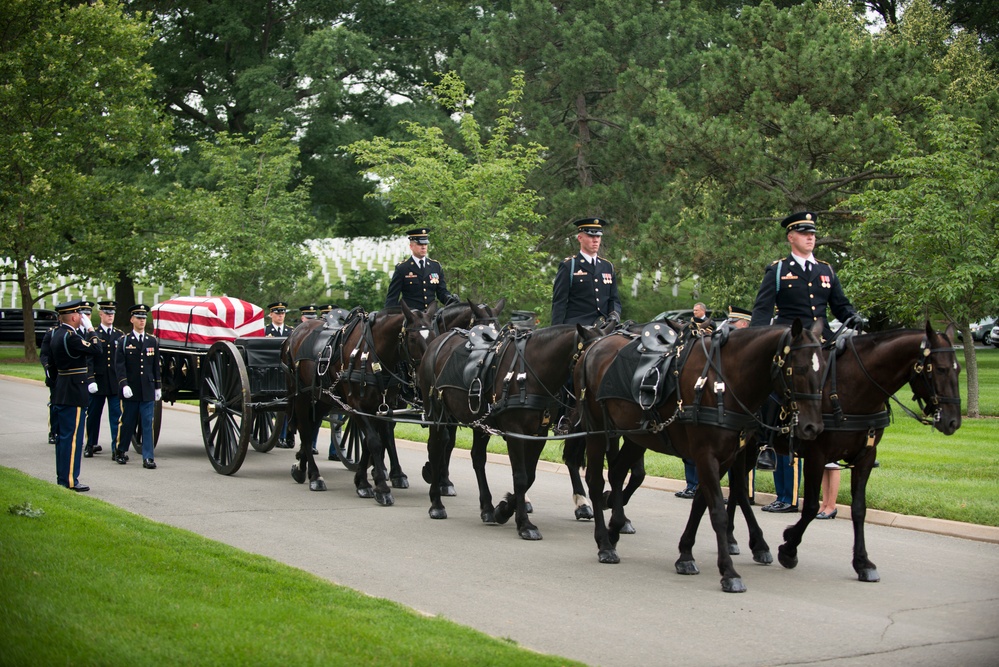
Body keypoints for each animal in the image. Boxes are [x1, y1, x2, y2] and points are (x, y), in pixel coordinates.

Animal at [416, 320, 604, 540]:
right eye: (592, 361)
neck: (532, 374)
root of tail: (437, 341)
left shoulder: (538, 434)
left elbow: (530, 475)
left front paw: (503, 510)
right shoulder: (515, 431)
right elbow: (521, 477)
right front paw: (524, 524)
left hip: (479, 422)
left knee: (477, 458)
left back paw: (487, 508)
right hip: (436, 414)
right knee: (437, 451)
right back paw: (436, 504)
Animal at [576, 320, 824, 596]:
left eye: (824, 367)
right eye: (799, 368)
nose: (812, 427)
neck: (723, 382)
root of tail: (595, 345)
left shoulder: (726, 458)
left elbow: (702, 503)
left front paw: (685, 554)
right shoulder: (706, 455)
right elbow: (718, 511)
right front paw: (729, 572)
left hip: (637, 436)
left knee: (618, 472)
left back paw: (615, 527)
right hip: (597, 431)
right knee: (596, 481)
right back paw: (605, 543)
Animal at [704, 320, 960, 580]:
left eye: (958, 369)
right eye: (940, 369)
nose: (953, 422)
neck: (854, 387)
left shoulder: (866, 457)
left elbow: (859, 509)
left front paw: (863, 562)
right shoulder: (817, 456)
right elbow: (810, 507)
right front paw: (789, 547)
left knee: (738, 488)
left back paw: (737, 540)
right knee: (739, 488)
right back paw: (752, 542)